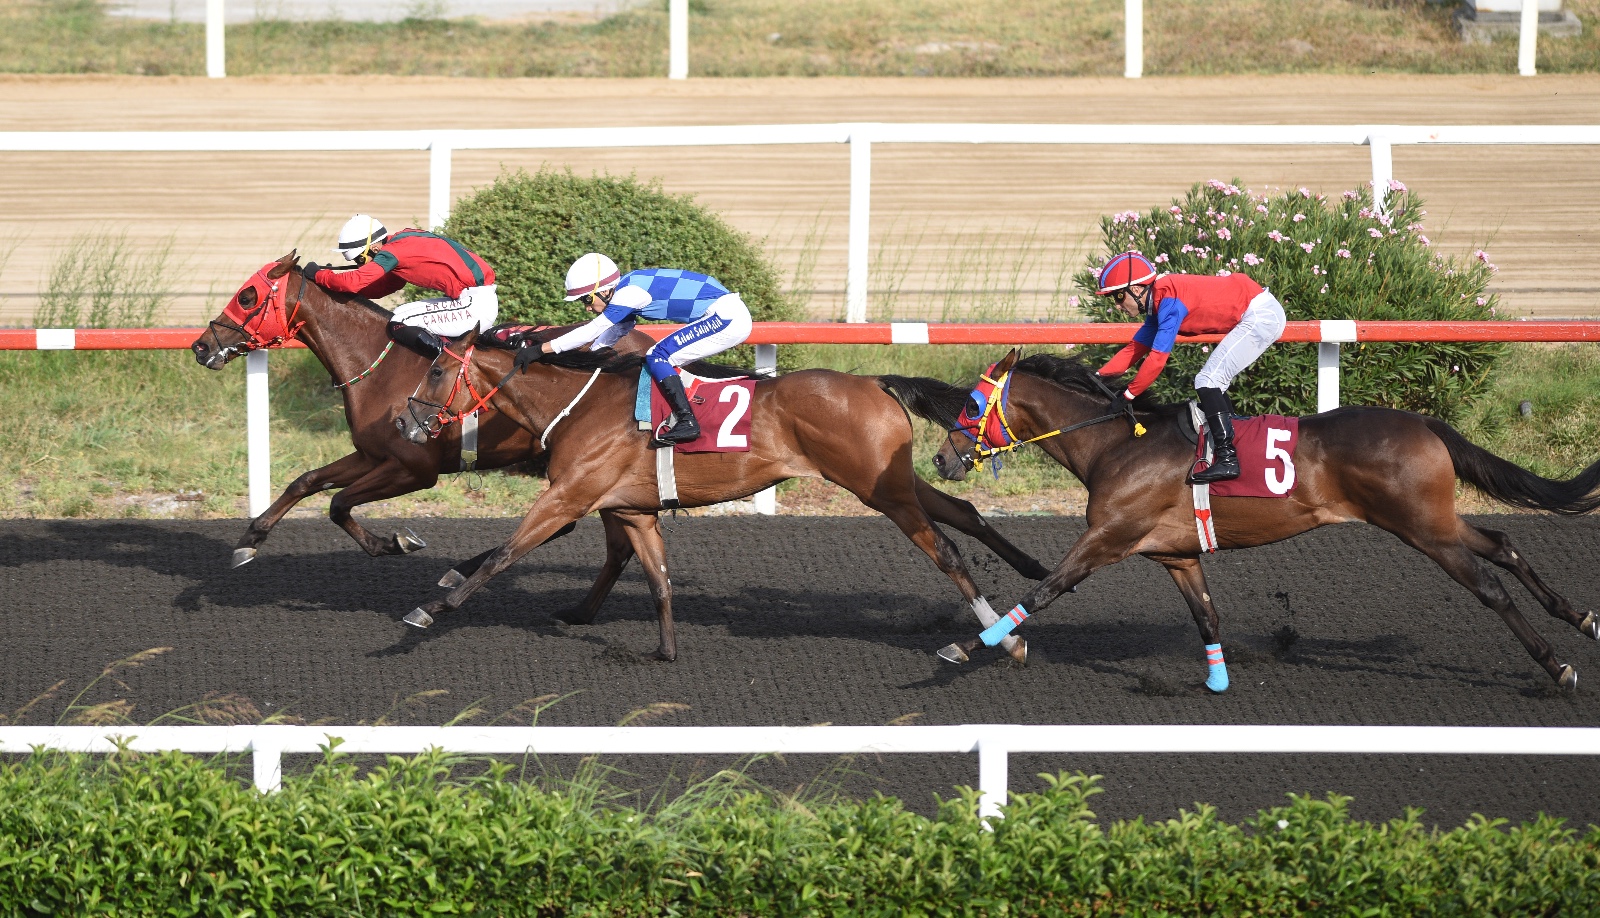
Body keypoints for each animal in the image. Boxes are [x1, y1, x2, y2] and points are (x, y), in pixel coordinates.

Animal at [190, 252, 663, 606]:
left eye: (247, 296)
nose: (200, 345)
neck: (378, 367)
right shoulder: (371, 454)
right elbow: (306, 482)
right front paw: (249, 540)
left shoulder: (415, 469)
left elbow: (339, 502)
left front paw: (395, 543)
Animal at [391, 325, 1054, 661]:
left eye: (435, 370)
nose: (403, 421)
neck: (579, 403)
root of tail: (873, 382)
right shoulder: (631, 508)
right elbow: (656, 576)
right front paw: (664, 649)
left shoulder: (569, 497)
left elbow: (503, 554)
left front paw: (429, 608)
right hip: (893, 479)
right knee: (962, 511)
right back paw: (1032, 576)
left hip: (879, 490)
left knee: (945, 551)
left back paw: (1000, 636)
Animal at [880, 348, 1600, 692]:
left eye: (973, 405)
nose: (942, 458)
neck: (1115, 445)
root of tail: (1422, 423)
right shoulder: (1174, 553)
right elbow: (1206, 615)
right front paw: (1219, 680)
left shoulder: (1107, 538)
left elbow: (1046, 589)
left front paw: (970, 646)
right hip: (1433, 517)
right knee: (1504, 543)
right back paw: (1584, 620)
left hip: (1422, 527)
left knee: (1490, 585)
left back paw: (1557, 667)